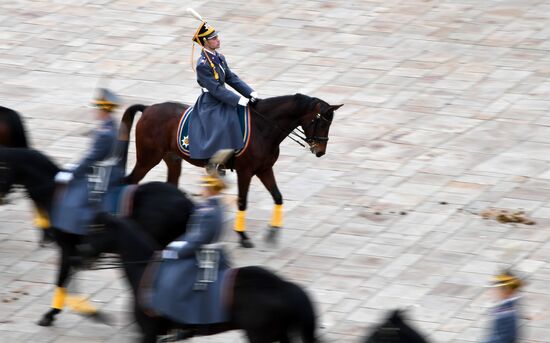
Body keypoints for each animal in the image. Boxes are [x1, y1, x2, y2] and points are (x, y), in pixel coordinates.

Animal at [0, 147, 196, 328]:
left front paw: (52, 313)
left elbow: (62, 278)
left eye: (2, 167)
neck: (55, 193)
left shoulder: (67, 247)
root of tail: (185, 202)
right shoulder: (76, 250)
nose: (2, 198)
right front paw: (87, 311)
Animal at [88, 212, 316, 343]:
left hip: (261, 336)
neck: (144, 271)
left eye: (97, 229)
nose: (83, 252)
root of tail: (283, 287)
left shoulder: (148, 333)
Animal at [123, 95, 342, 249]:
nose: (320, 151)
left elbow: (278, 197)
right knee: (130, 181)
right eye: (321, 122)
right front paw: (243, 236)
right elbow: (242, 202)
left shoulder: (264, 169)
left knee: (170, 185)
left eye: (329, 123)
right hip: (148, 159)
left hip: (172, 159)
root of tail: (148, 108)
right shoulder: (245, 172)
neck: (263, 128)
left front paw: (273, 232)